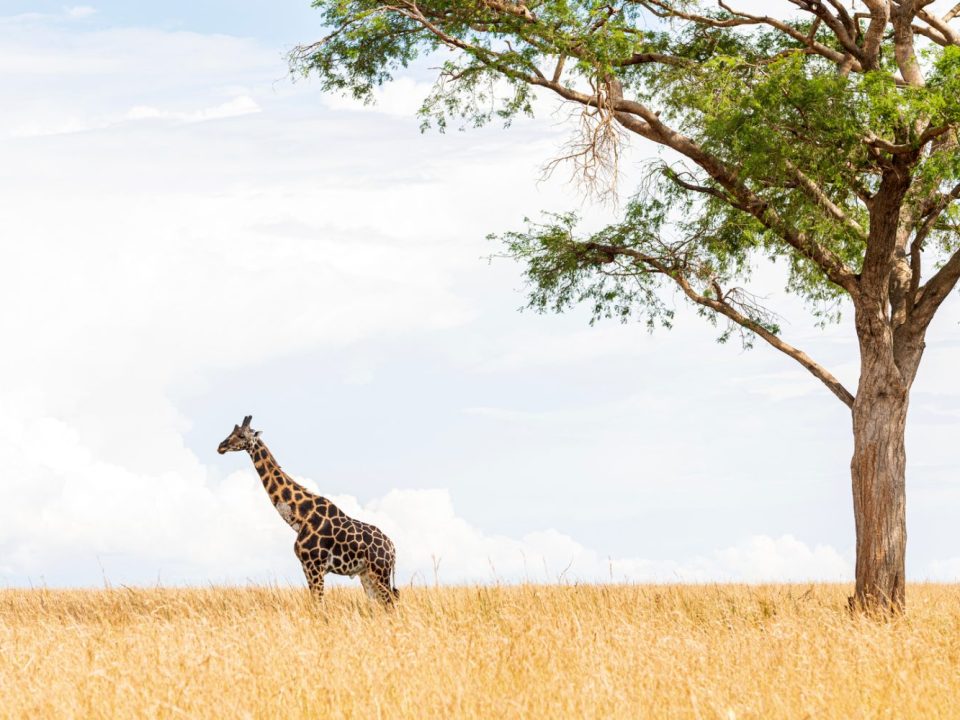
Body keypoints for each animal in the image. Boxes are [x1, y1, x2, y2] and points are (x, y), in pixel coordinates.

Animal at [218, 414, 398, 604]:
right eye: (231, 431)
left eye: (242, 435)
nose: (221, 446)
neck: (300, 516)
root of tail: (393, 549)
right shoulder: (307, 566)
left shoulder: (315, 565)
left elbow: (318, 604)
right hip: (366, 574)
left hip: (379, 572)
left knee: (390, 604)